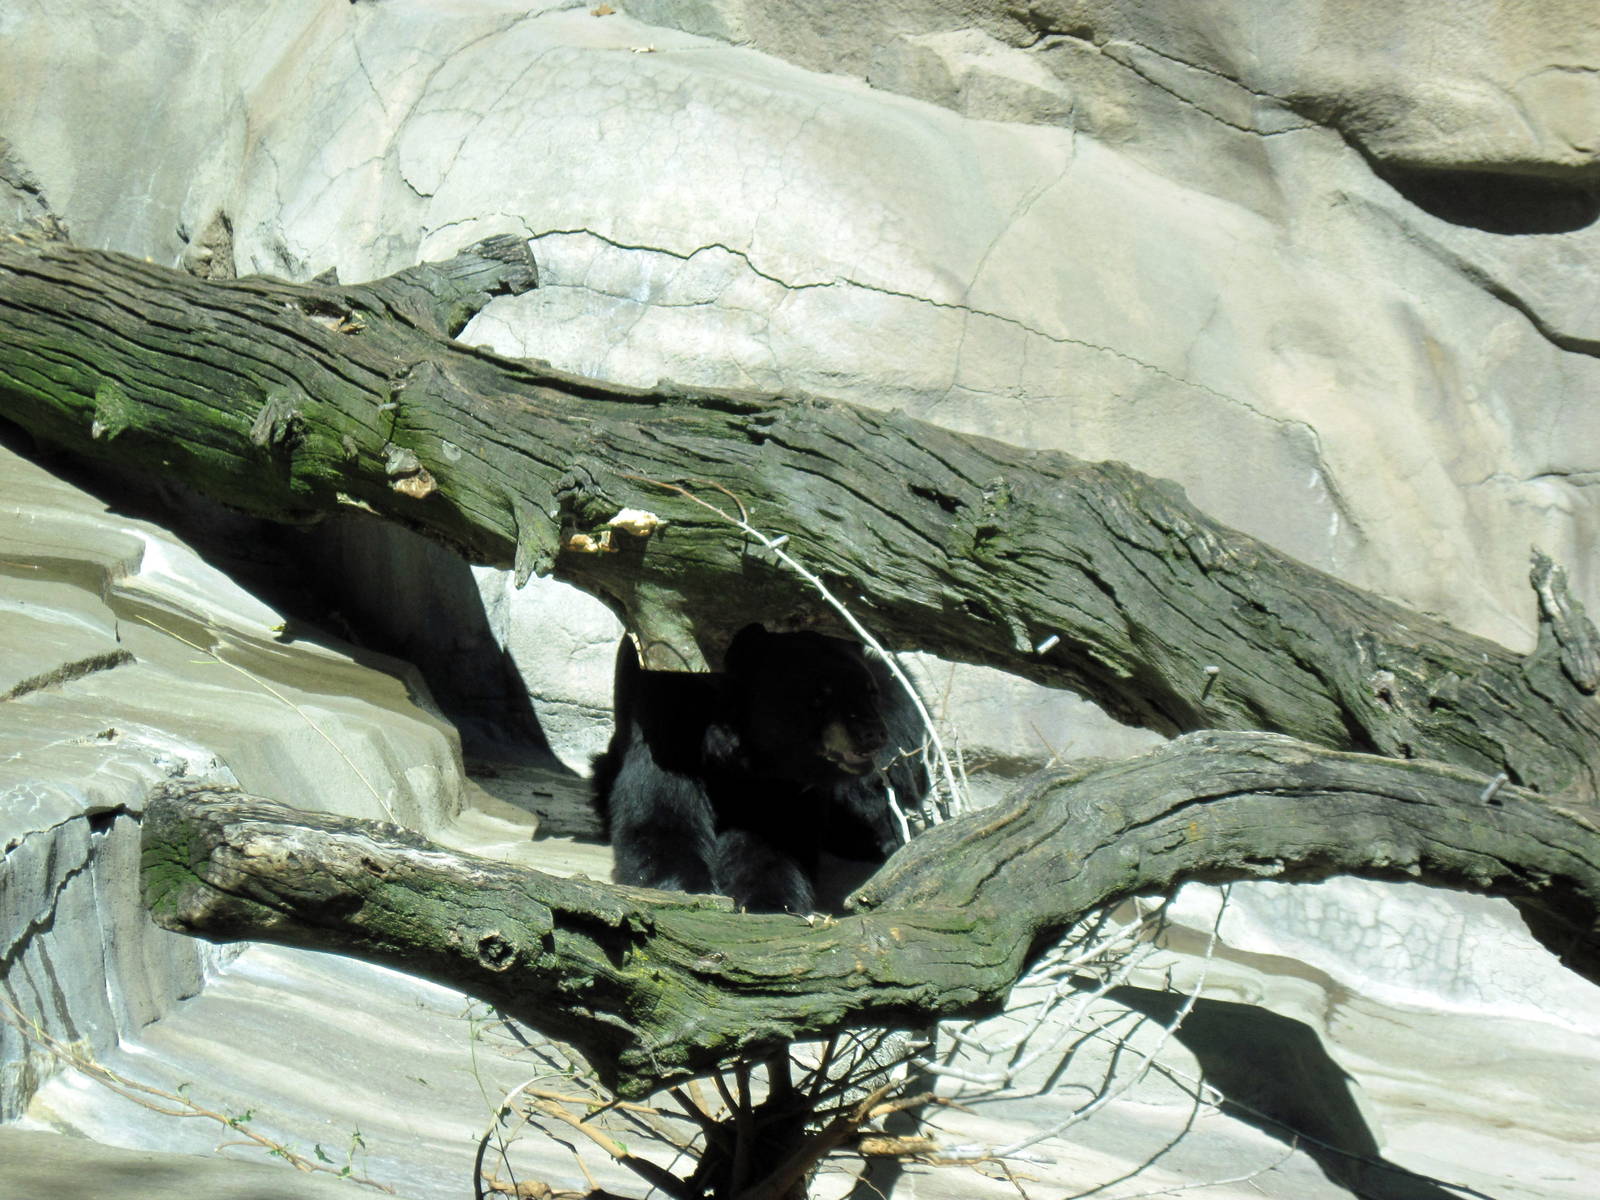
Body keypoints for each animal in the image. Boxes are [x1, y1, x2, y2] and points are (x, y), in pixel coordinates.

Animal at [590, 623, 928, 913]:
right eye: (820, 695)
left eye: (868, 691)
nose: (871, 734)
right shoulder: (666, 723)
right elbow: (660, 813)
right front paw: (686, 888)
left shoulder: (780, 780)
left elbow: (769, 831)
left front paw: (769, 900)